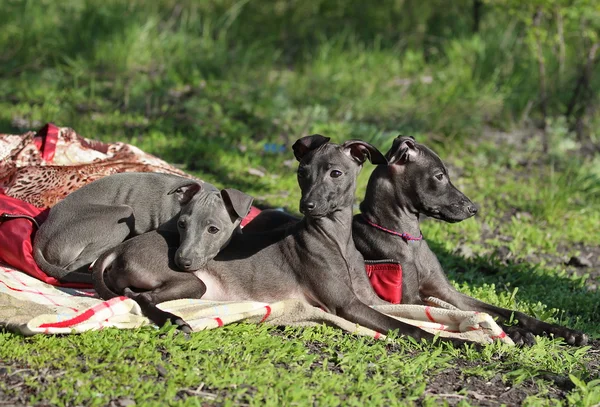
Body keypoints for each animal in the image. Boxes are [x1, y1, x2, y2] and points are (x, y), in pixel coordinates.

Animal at [33, 174, 253, 286]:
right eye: (182, 224)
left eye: (213, 229)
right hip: (121, 216)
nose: (182, 262)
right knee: (73, 268)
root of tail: (40, 237)